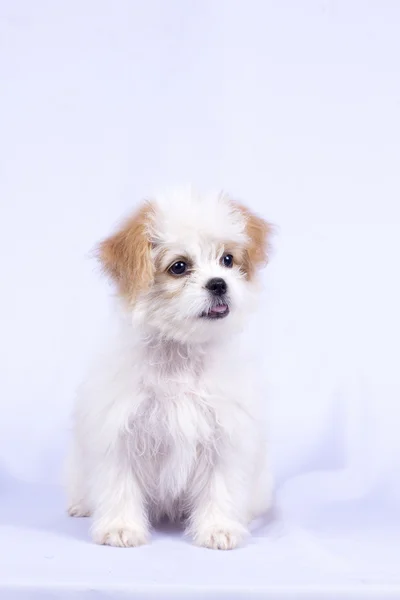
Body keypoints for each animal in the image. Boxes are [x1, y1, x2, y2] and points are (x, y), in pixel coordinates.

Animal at [66, 188, 272, 548]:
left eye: (227, 260)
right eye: (179, 267)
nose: (219, 283)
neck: (181, 355)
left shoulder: (224, 436)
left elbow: (220, 484)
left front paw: (218, 527)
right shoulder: (119, 432)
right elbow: (120, 483)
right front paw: (121, 527)